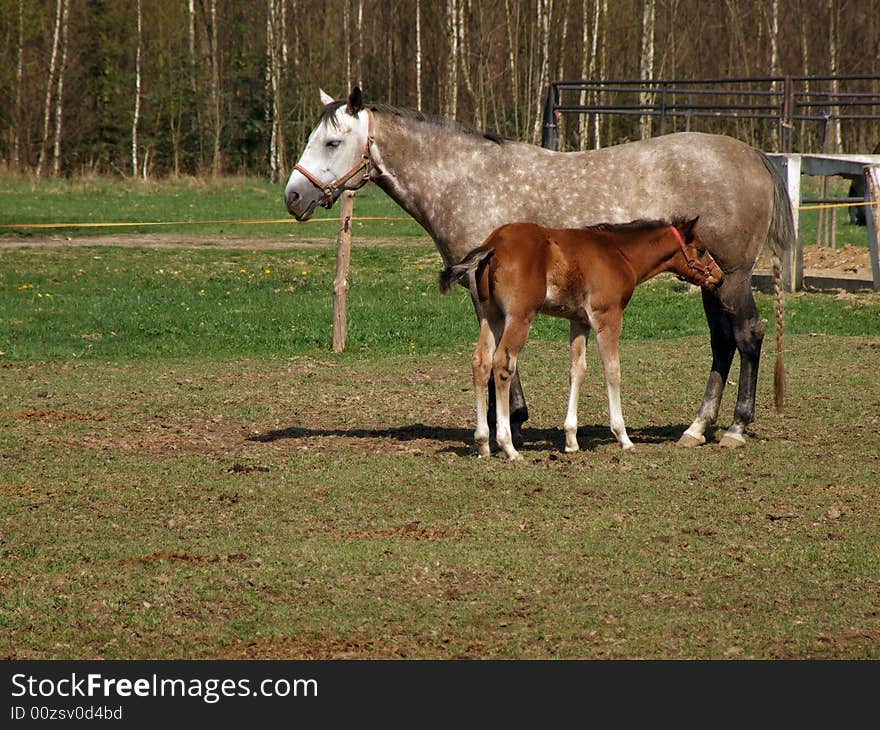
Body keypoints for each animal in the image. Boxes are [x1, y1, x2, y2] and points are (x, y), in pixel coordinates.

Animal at [440, 213, 720, 458]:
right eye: (701, 249)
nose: (718, 276)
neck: (619, 254)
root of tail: (493, 244)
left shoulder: (579, 321)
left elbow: (578, 370)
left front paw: (571, 440)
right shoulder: (607, 316)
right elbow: (612, 369)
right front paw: (623, 437)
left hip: (492, 315)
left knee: (481, 362)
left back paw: (482, 443)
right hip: (519, 316)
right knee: (502, 364)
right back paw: (508, 447)